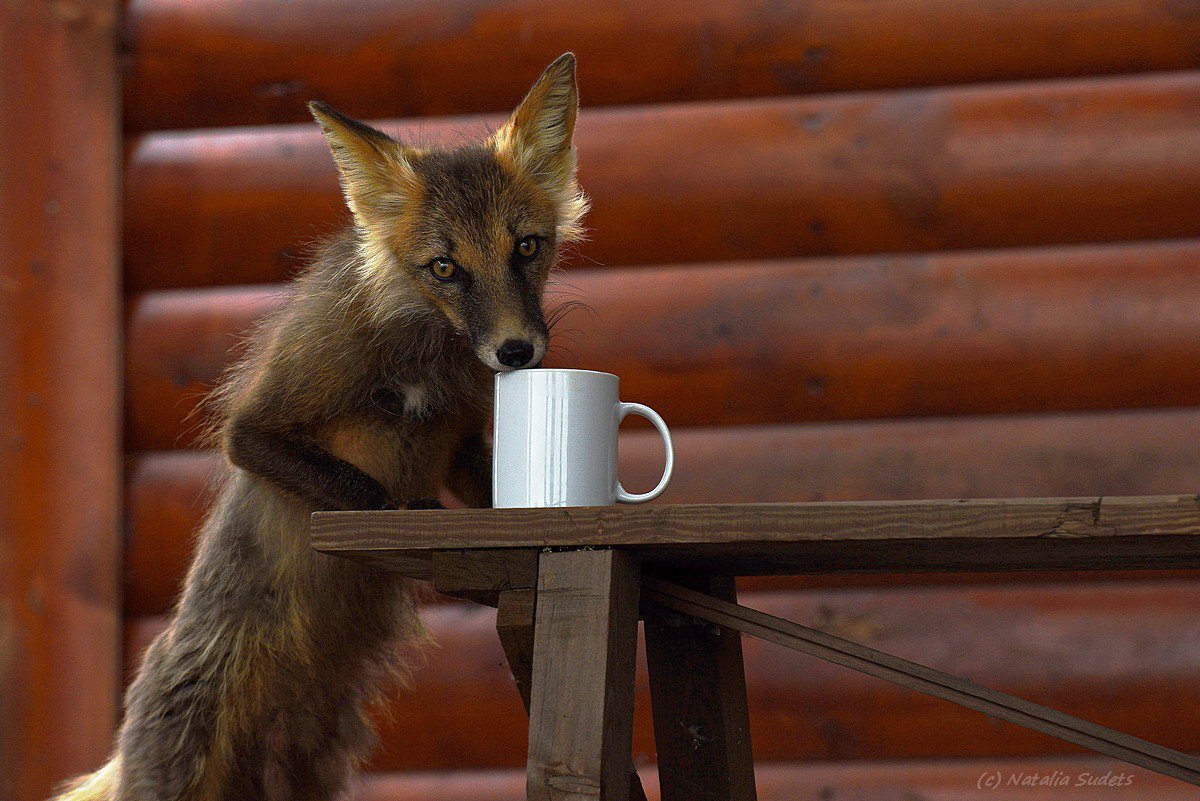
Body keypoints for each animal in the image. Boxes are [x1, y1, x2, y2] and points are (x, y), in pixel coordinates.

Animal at [56, 53, 590, 796]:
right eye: (445, 266)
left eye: (527, 248)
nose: (516, 352)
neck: (423, 350)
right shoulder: (268, 414)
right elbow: (358, 486)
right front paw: (406, 508)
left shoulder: (460, 440)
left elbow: (490, 493)